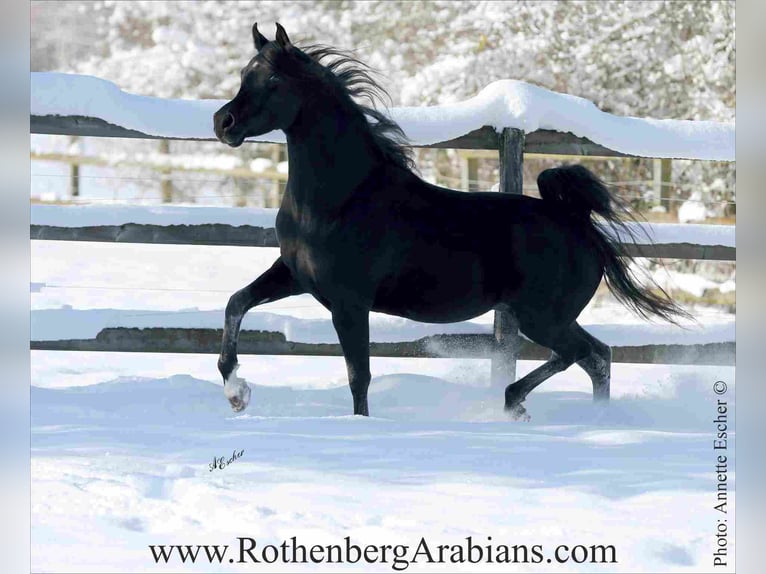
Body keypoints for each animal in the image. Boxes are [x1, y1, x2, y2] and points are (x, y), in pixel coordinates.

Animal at [212, 23, 688, 418]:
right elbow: (236, 302)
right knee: (598, 357)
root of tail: (576, 220)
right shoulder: (295, 275)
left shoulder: (350, 302)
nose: (223, 122)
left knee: (581, 355)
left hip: (542, 317)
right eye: (243, 74)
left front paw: (360, 427)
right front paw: (237, 393)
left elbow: (358, 377)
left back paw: (516, 403)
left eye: (273, 80)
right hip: (550, 316)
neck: (340, 200)